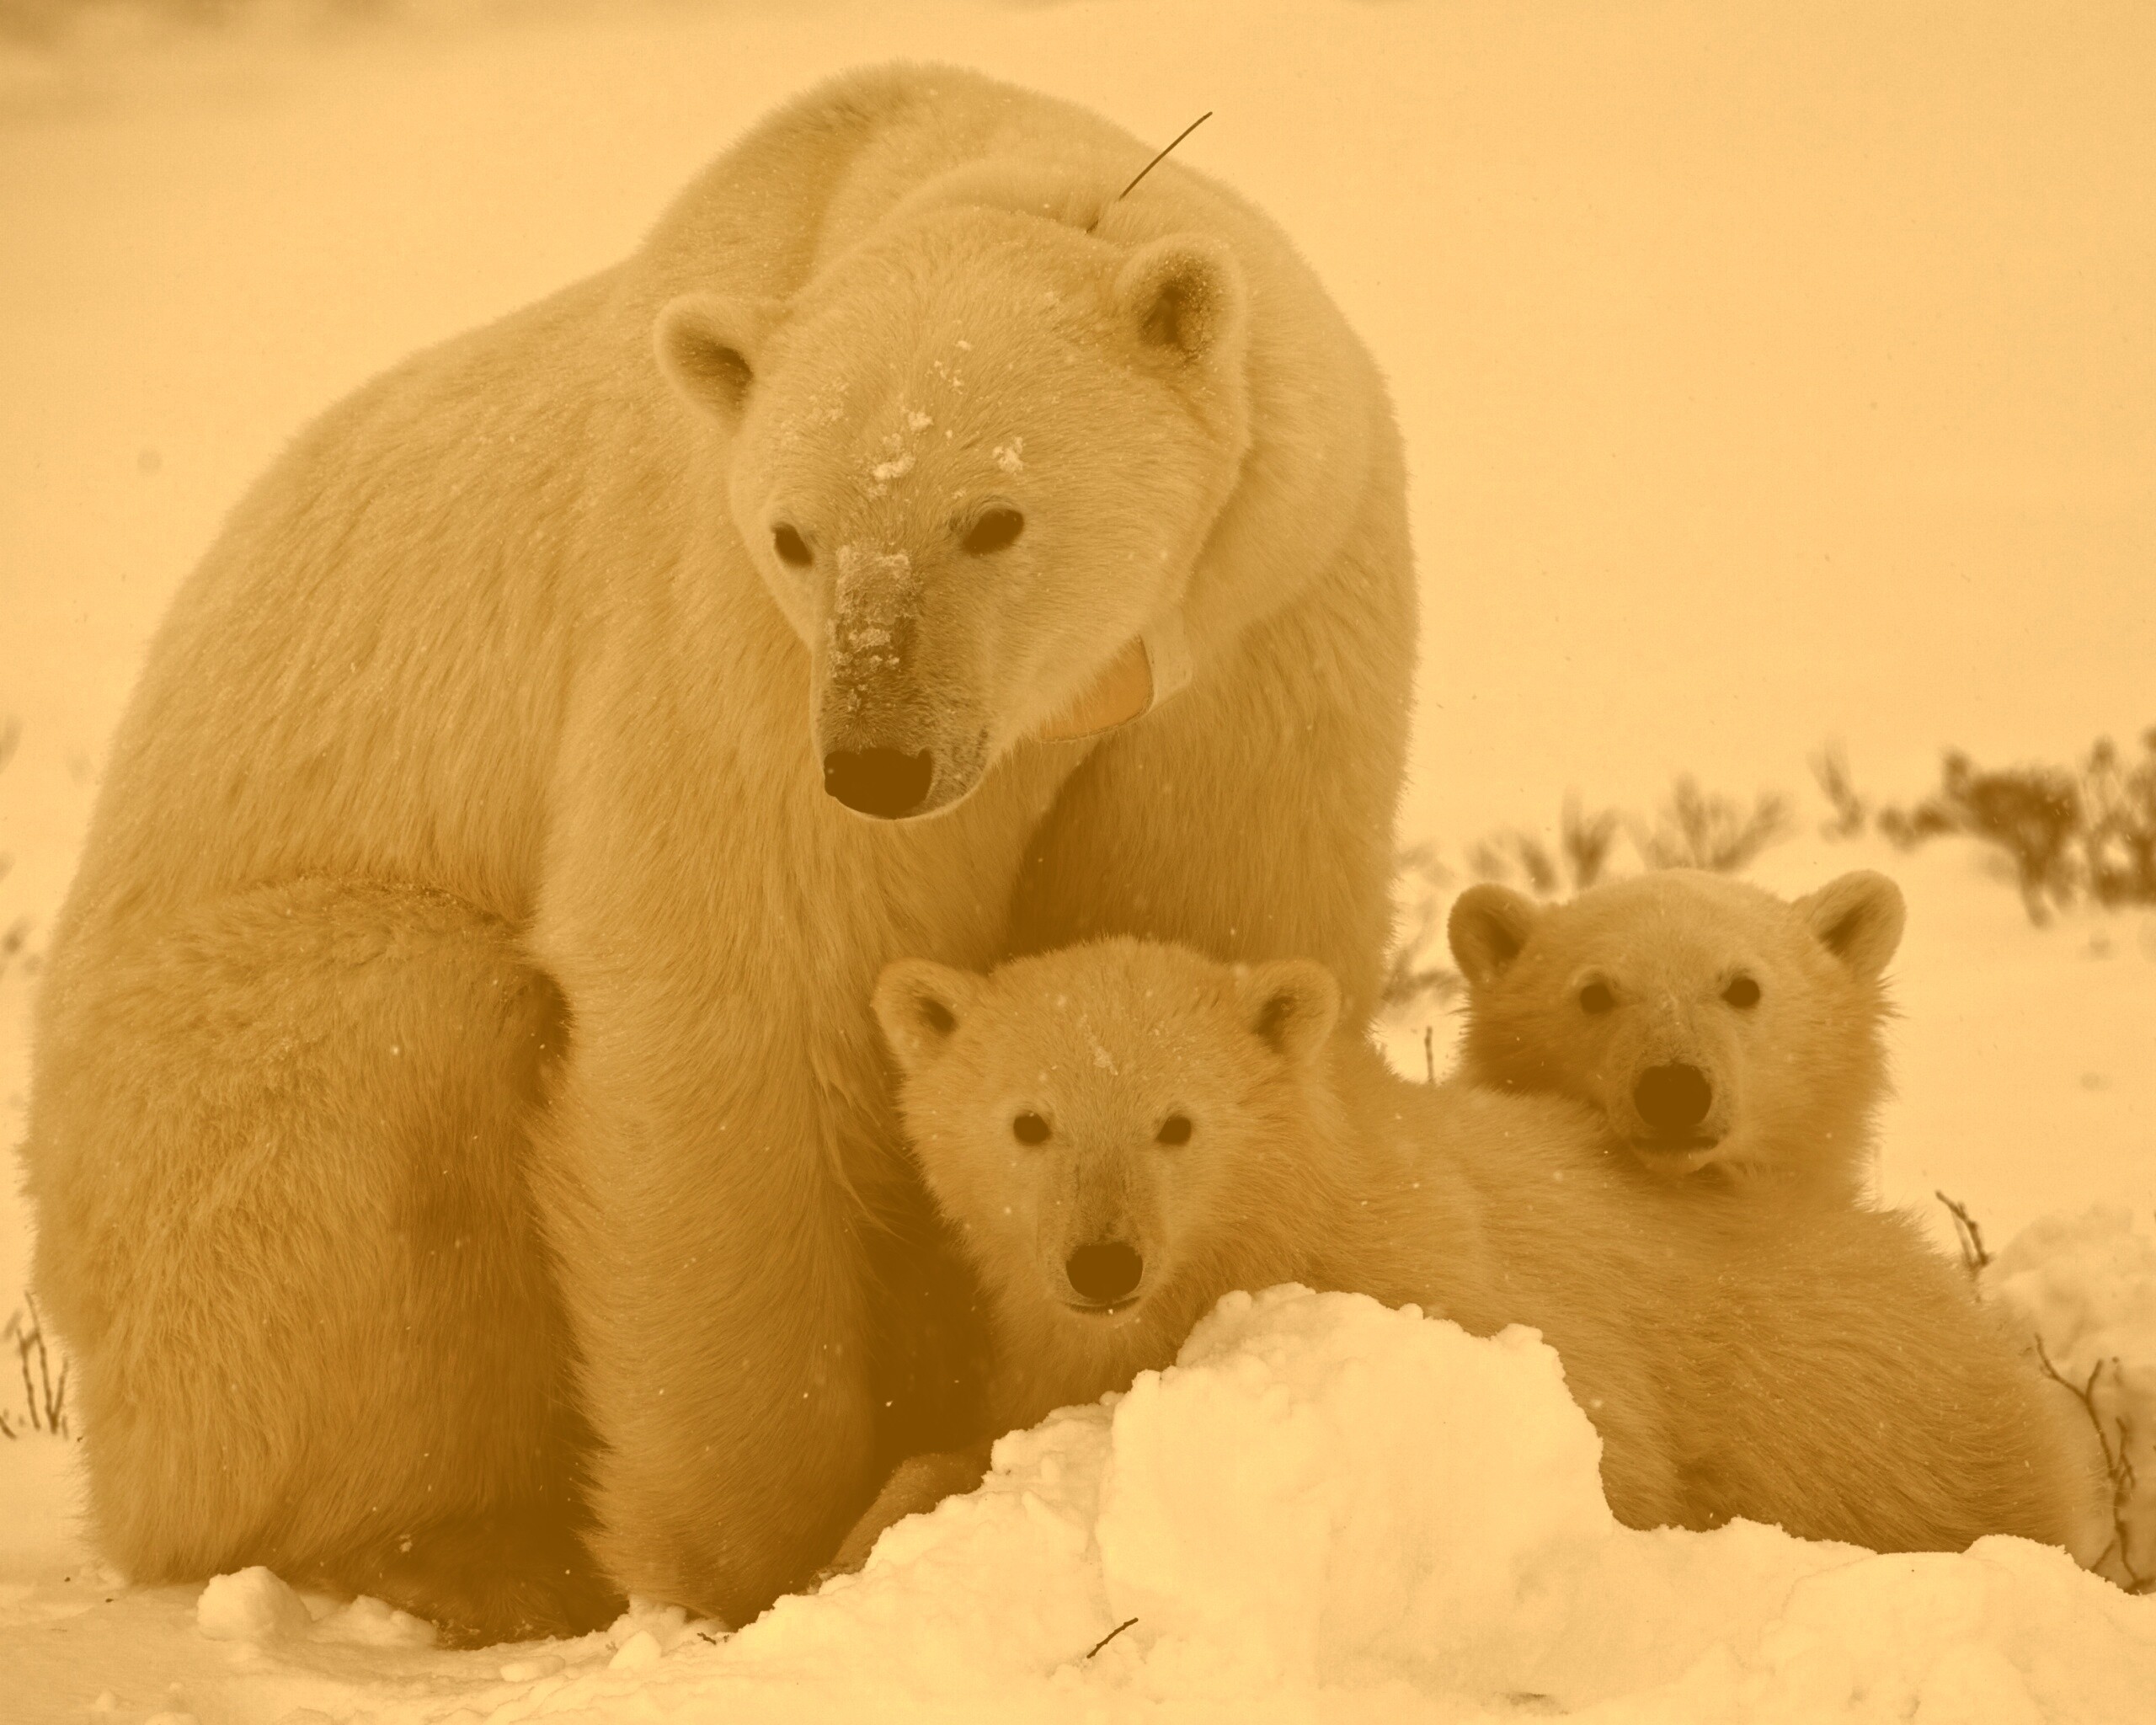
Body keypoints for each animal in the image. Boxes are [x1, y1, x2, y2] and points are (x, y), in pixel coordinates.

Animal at [17, 64, 1414, 1647]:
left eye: (994, 516)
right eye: (799, 534)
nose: (877, 762)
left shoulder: (1259, 630)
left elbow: (1200, 929)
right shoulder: (725, 634)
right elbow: (732, 1001)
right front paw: (774, 1553)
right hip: (181, 1133)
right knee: (389, 1058)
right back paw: (467, 1552)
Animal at [832, 944, 2095, 1578]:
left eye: (1176, 1123)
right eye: (1029, 1122)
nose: (1103, 1262)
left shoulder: (1443, 1285)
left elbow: (1606, 1456)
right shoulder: (1049, 1347)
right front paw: (860, 1537)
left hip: (1874, 1408)